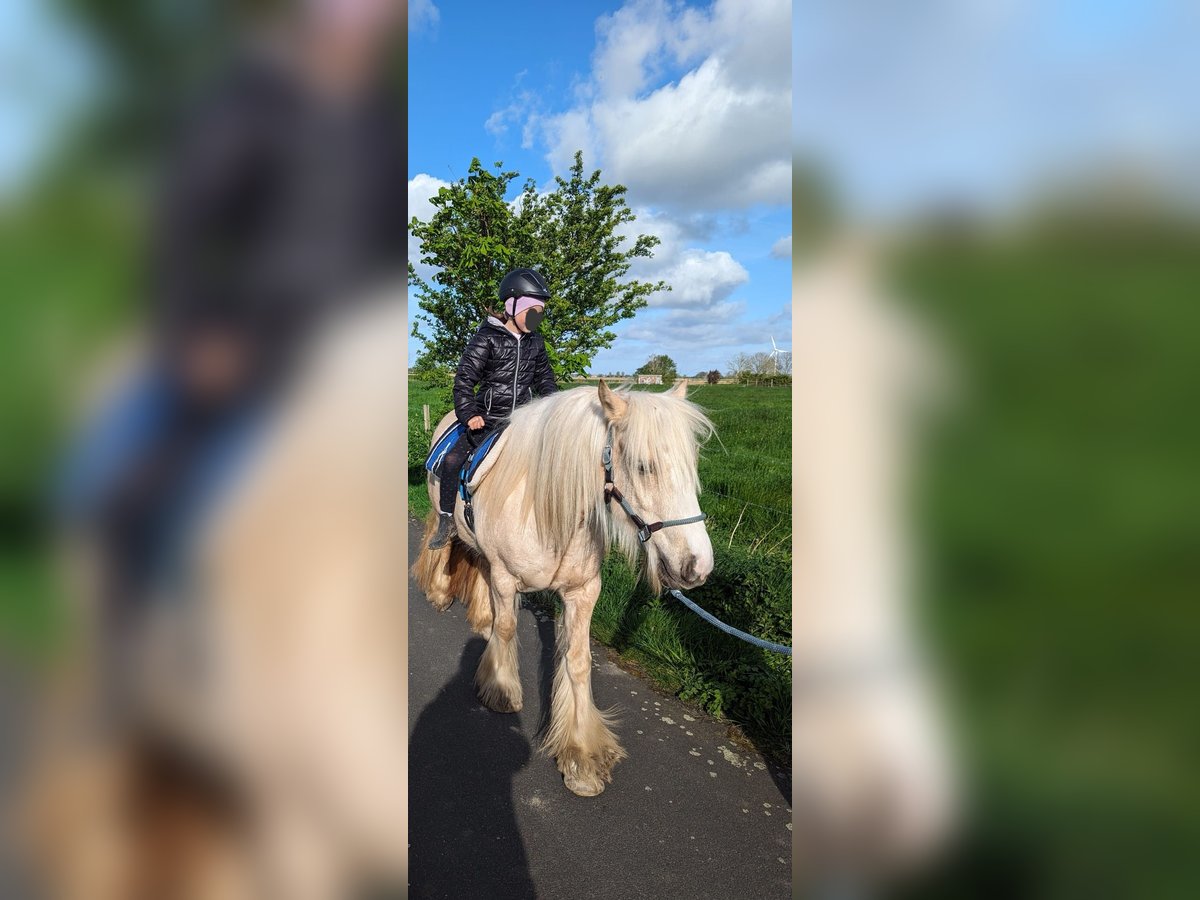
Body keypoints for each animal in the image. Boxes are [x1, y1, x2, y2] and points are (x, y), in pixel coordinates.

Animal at [412, 379, 710, 796]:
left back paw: (483, 619)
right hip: (445, 516)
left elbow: (578, 660)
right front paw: (500, 690)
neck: (546, 510)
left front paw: (581, 755)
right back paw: (440, 592)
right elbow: (509, 628)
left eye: (692, 466)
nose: (697, 566)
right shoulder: (506, 578)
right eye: (643, 466)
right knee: (444, 540)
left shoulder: (583, 592)